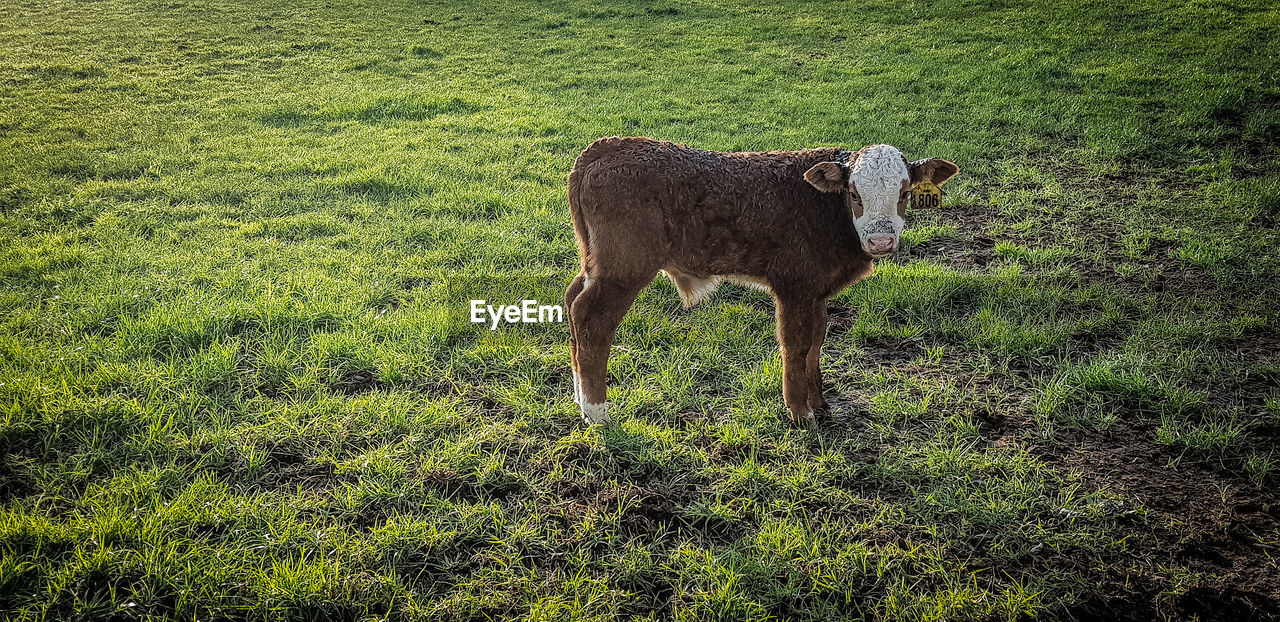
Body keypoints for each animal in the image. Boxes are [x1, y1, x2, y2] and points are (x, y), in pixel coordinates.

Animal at [565, 136, 957, 427]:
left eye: (904, 193)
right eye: (855, 194)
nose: (881, 241)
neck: (826, 208)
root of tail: (606, 148)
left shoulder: (817, 292)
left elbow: (816, 343)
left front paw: (820, 403)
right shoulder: (793, 287)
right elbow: (796, 345)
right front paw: (800, 412)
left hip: (595, 263)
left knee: (571, 299)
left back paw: (581, 401)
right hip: (624, 270)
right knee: (591, 320)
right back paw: (598, 414)